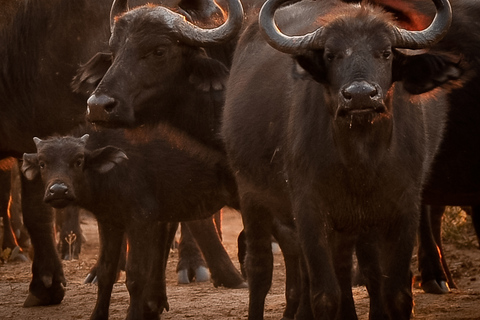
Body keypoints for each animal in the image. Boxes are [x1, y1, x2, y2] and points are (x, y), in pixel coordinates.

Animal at [223, 0, 460, 318]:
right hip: (251, 195)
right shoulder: (309, 210)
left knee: (349, 266)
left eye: (385, 52)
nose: (360, 95)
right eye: (330, 54)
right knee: (260, 269)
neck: (360, 159)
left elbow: (396, 293)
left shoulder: (403, 208)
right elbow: (325, 294)